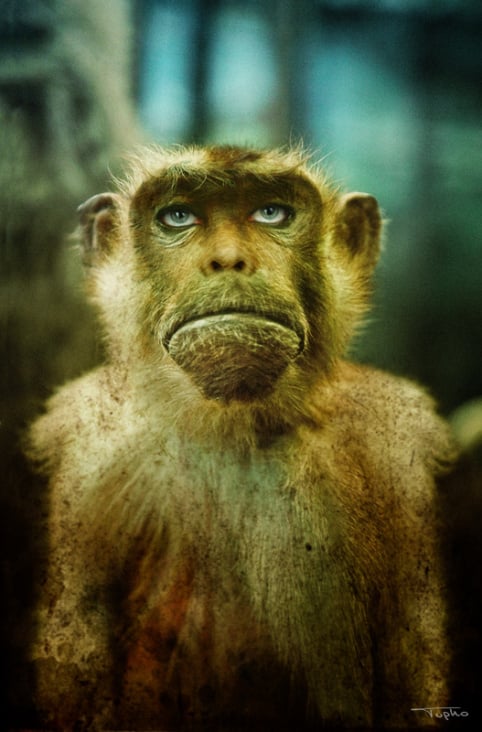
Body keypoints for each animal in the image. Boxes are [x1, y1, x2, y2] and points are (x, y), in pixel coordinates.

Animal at [27, 144, 457, 730]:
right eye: (178, 217)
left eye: (271, 213)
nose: (228, 260)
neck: (233, 425)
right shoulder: (90, 449)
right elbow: (77, 634)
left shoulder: (396, 441)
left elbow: (412, 639)